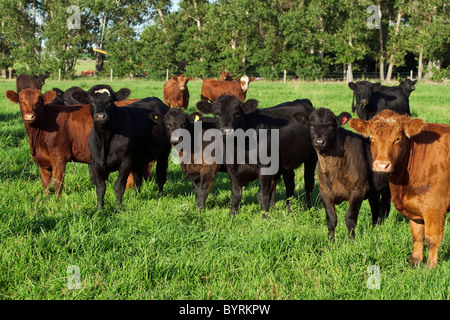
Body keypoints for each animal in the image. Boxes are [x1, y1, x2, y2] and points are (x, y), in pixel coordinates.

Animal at [5, 89, 144, 196]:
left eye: (38, 102)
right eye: (21, 102)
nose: (30, 116)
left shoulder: (59, 158)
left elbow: (57, 181)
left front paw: (57, 201)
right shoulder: (42, 161)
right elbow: (45, 183)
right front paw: (45, 199)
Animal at [306, 107, 390, 240]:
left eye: (331, 125)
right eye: (311, 124)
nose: (319, 141)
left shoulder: (358, 190)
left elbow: (350, 218)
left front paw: (351, 241)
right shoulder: (324, 191)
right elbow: (331, 219)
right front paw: (331, 241)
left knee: (384, 208)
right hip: (374, 190)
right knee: (375, 206)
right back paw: (374, 227)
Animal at [352, 110, 450, 268]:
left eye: (397, 139)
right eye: (372, 138)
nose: (382, 165)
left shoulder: (435, 207)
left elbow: (432, 238)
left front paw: (430, 267)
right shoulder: (415, 207)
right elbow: (417, 236)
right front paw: (415, 262)